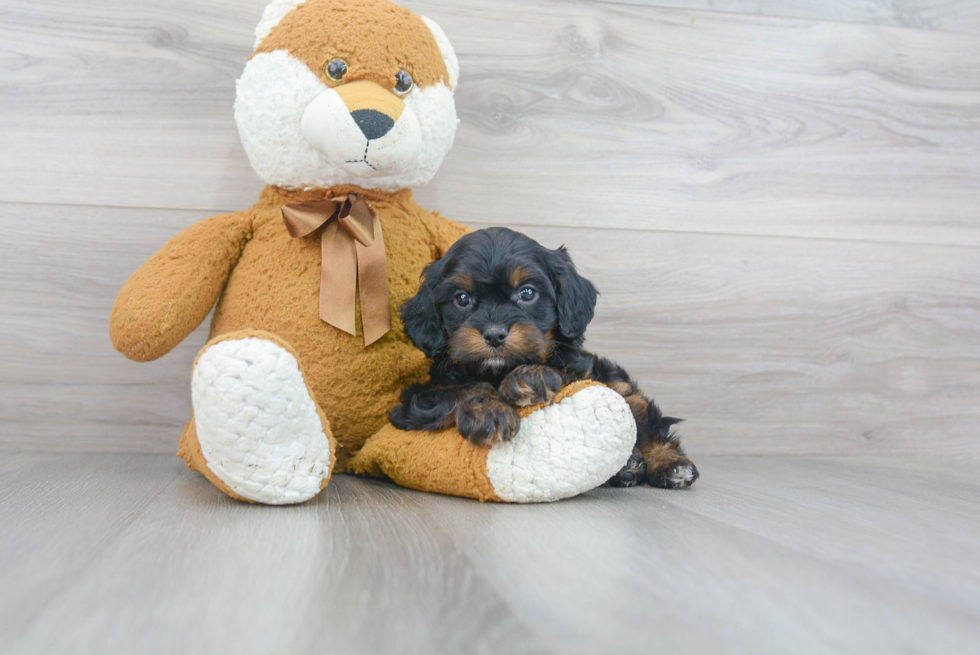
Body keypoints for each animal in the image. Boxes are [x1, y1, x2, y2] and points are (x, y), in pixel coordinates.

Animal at [388, 228, 696, 490]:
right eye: (462, 299)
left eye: (527, 293)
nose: (494, 334)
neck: (497, 372)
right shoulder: (415, 402)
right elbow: (463, 388)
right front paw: (489, 413)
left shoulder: (581, 370)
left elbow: (559, 370)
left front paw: (529, 375)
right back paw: (629, 466)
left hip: (616, 383)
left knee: (644, 417)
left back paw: (669, 464)